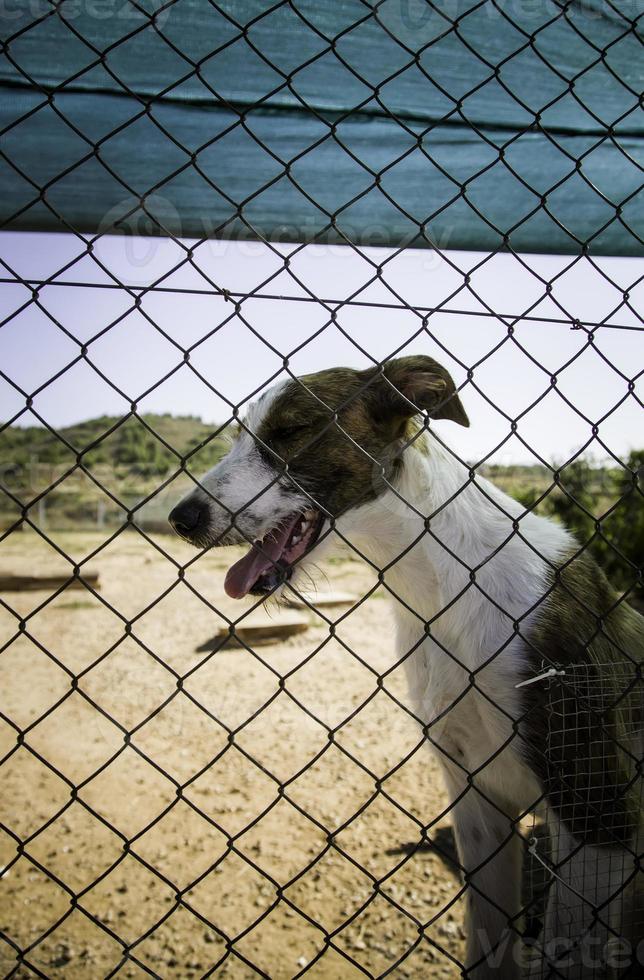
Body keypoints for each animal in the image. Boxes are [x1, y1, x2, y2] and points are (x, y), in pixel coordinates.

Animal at [169, 356, 640, 976]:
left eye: (290, 431)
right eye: (239, 437)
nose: (180, 518)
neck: (442, 585)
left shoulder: (599, 816)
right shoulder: (477, 802)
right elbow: (487, 942)